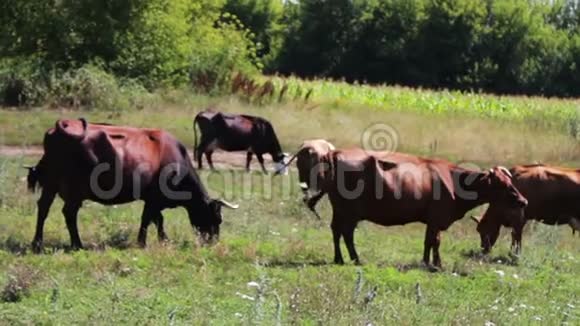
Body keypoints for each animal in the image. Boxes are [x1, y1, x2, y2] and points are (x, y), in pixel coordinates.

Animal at [26, 118, 236, 252]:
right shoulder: (154, 198)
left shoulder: (152, 199)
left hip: (52, 184)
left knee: (44, 208)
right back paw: (77, 244)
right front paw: (143, 242)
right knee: (68, 213)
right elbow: (149, 219)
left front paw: (162, 240)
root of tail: (61, 126)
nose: (213, 242)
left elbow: (156, 219)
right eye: (217, 219)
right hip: (75, 189)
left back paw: (38, 243)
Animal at [320, 148, 528, 268]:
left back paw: (339, 259)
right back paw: (355, 259)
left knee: (336, 230)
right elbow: (435, 241)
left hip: (340, 210)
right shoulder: (437, 218)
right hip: (350, 212)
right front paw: (436, 264)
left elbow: (429, 241)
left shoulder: (433, 221)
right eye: (502, 184)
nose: (524, 201)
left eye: (510, 181)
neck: (453, 181)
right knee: (346, 233)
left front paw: (427, 262)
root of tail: (337, 153)